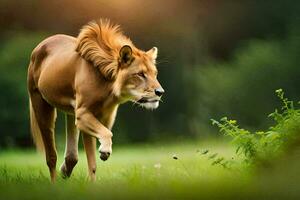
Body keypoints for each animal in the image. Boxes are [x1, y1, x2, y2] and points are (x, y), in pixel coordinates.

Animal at [27, 19, 164, 182]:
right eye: (141, 74)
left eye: (155, 74)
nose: (160, 92)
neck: (109, 87)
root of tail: (40, 45)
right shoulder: (83, 114)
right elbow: (104, 139)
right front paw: (104, 151)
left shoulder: (99, 118)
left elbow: (97, 152)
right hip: (41, 106)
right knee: (51, 156)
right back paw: (54, 182)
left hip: (71, 113)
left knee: (71, 156)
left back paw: (65, 170)